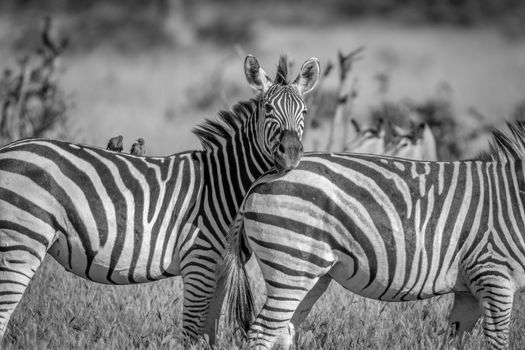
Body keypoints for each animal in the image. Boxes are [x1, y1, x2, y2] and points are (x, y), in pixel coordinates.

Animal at [0, 53, 320, 344]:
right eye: (268, 108)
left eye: (304, 112)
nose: (291, 153)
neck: (223, 184)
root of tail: (9, 149)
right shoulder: (198, 264)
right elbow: (191, 334)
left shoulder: (219, 271)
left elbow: (210, 336)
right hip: (21, 241)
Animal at [222, 121, 525, 348]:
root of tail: (263, 177)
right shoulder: (494, 276)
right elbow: (498, 341)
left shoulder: (468, 292)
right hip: (290, 266)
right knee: (262, 332)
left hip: (311, 273)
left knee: (284, 331)